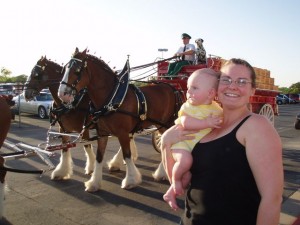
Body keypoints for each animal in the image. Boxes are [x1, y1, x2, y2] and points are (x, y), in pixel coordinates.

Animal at [24, 56, 139, 192]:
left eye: (36, 74)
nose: (25, 93)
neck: (71, 104)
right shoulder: (63, 129)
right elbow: (64, 149)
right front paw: (61, 172)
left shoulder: (83, 129)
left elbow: (87, 145)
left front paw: (91, 167)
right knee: (129, 138)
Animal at [57, 48, 182, 190]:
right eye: (65, 68)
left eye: (77, 70)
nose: (62, 94)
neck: (112, 98)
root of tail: (171, 87)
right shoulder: (102, 133)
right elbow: (99, 157)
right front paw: (94, 183)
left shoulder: (123, 133)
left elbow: (127, 155)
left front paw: (130, 180)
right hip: (160, 125)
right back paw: (162, 172)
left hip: (167, 123)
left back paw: (162, 172)